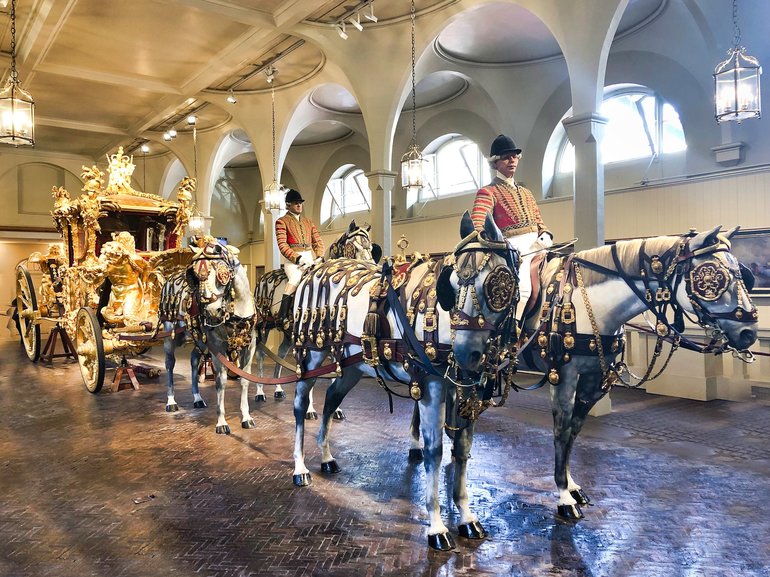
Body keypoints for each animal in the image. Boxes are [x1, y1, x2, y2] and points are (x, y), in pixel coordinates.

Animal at [159, 237, 258, 432]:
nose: (212, 312)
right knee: (169, 364)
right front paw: (221, 422)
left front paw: (246, 417)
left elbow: (245, 380)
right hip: (171, 335)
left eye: (222, 274)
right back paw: (171, 401)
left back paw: (197, 398)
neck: (238, 311)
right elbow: (221, 382)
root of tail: (170, 278)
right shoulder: (217, 346)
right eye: (196, 276)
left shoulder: (250, 345)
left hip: (199, 339)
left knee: (193, 359)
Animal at [254, 220, 380, 418]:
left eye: (371, 247)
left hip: (288, 333)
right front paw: (310, 409)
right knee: (260, 354)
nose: (371, 268)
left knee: (281, 353)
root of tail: (263, 277)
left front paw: (337, 409)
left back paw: (278, 388)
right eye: (354, 246)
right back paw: (260, 391)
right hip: (264, 326)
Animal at [292, 213, 520, 548]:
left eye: (497, 283)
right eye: (452, 284)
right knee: (299, 404)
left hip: (353, 365)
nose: (466, 355)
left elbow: (462, 449)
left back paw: (326, 456)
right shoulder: (431, 387)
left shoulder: (466, 391)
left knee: (332, 397)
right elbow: (434, 452)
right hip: (311, 353)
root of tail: (315, 270)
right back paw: (299, 467)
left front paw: (466, 517)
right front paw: (437, 526)